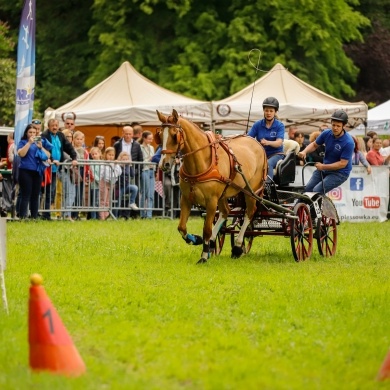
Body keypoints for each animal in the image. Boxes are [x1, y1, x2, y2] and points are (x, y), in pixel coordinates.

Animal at [155, 108, 268, 264]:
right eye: (160, 135)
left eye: (174, 135)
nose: (164, 164)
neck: (200, 161)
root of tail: (257, 143)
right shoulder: (186, 199)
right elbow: (182, 227)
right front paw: (197, 240)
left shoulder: (211, 201)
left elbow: (207, 229)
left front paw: (203, 256)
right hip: (224, 193)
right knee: (226, 211)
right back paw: (213, 243)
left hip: (250, 191)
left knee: (249, 213)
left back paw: (237, 246)